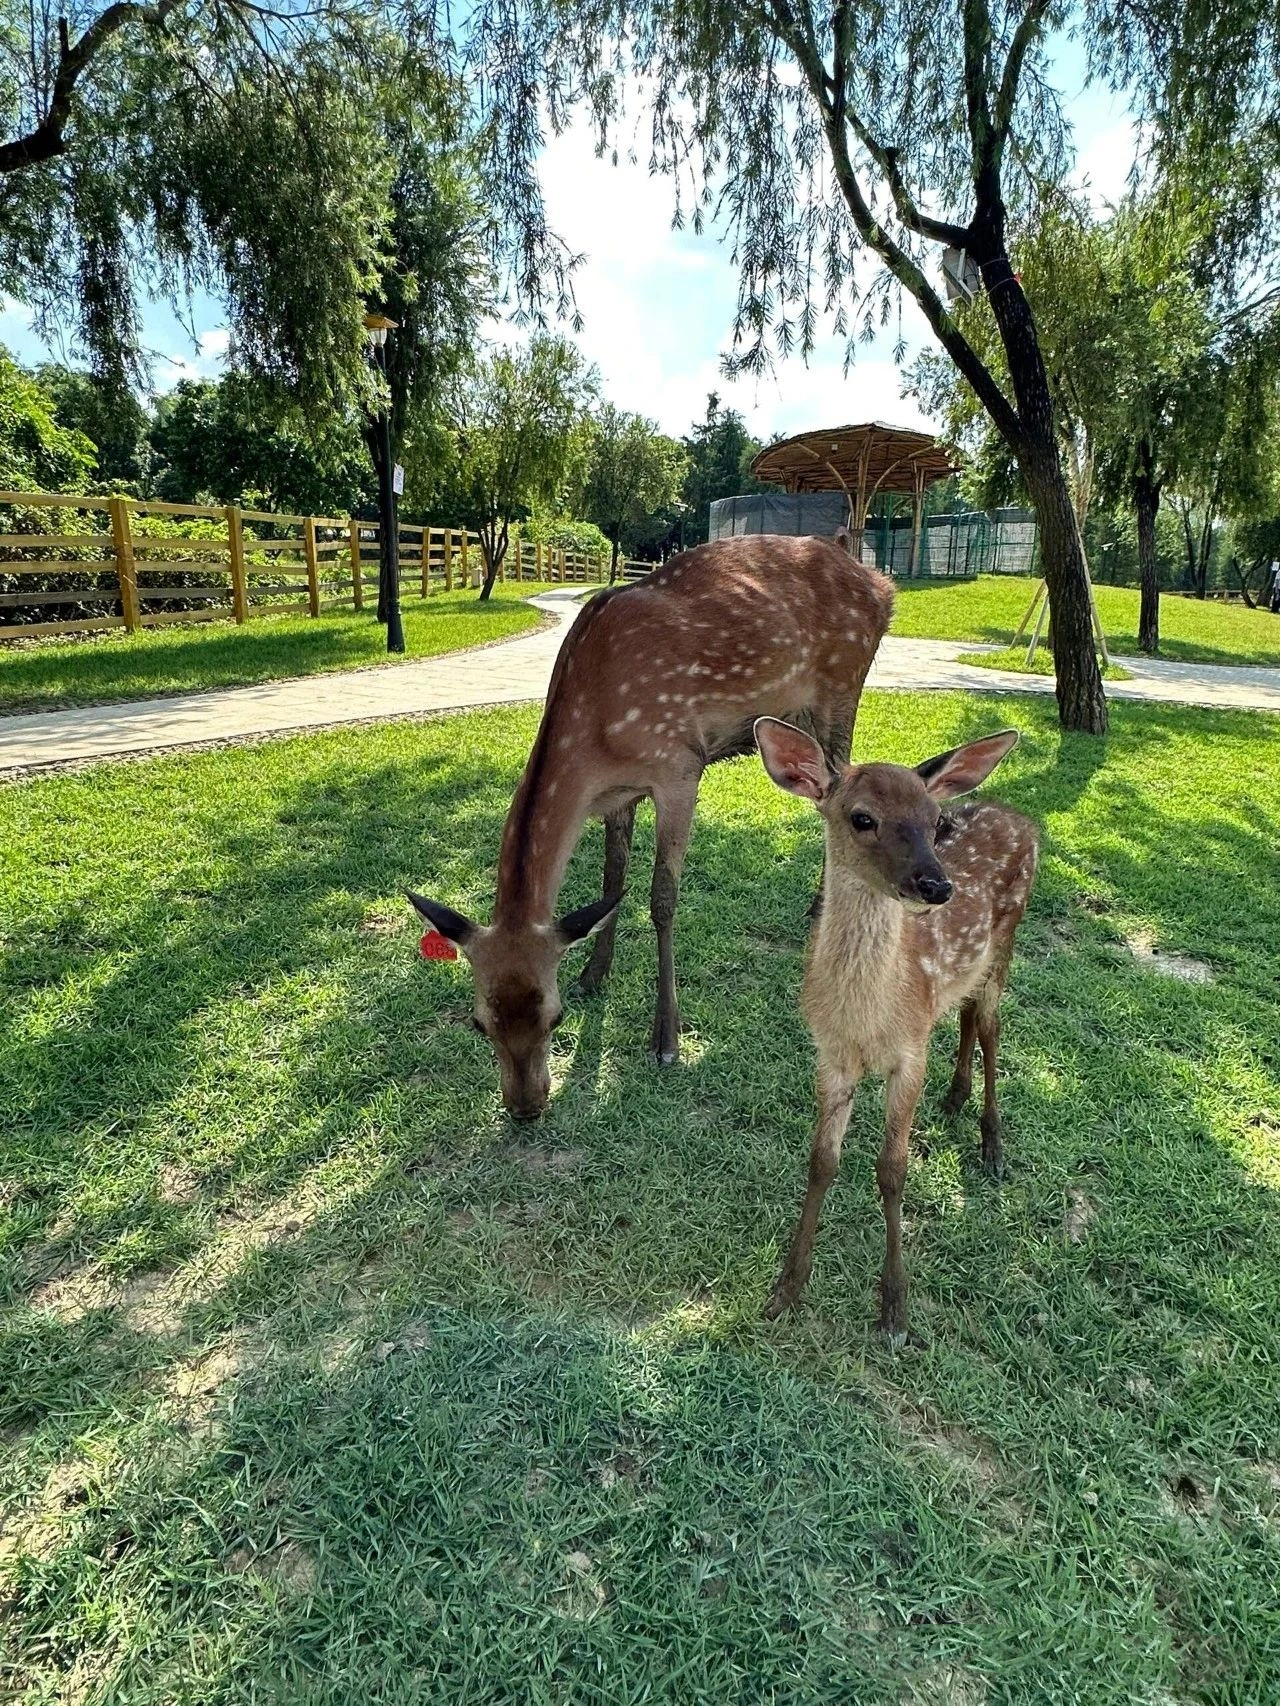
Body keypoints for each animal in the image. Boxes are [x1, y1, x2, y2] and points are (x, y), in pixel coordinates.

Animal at [407, 532, 894, 1119]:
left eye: (554, 1017)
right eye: (480, 1023)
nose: (525, 1107)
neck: (597, 739)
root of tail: (881, 583)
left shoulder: (679, 767)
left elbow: (662, 897)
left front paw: (666, 1036)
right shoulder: (618, 796)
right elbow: (612, 881)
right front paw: (594, 974)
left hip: (843, 685)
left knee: (837, 787)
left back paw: (821, 906)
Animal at [750, 719, 1044, 1344]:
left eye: (934, 820)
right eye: (862, 818)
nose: (938, 887)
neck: (868, 1016)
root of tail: (1023, 820)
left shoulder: (909, 1052)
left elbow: (892, 1170)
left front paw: (895, 1310)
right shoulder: (831, 1053)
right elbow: (822, 1161)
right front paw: (786, 1289)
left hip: (1006, 940)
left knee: (990, 1025)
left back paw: (993, 1144)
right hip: (967, 972)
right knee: (965, 1014)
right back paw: (955, 1098)